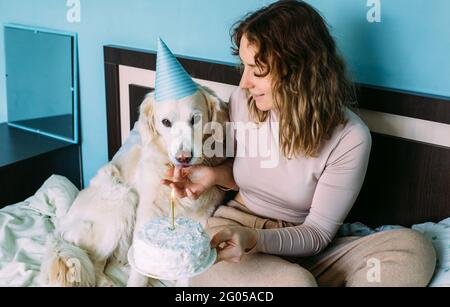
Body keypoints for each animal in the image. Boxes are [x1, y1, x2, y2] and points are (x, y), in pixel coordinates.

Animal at [39, 85, 229, 288]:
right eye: (166, 122)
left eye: (195, 119)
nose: (183, 158)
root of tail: (61, 227)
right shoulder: (148, 211)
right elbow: (139, 272)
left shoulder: (203, 217)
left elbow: (188, 276)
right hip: (122, 200)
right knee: (96, 262)